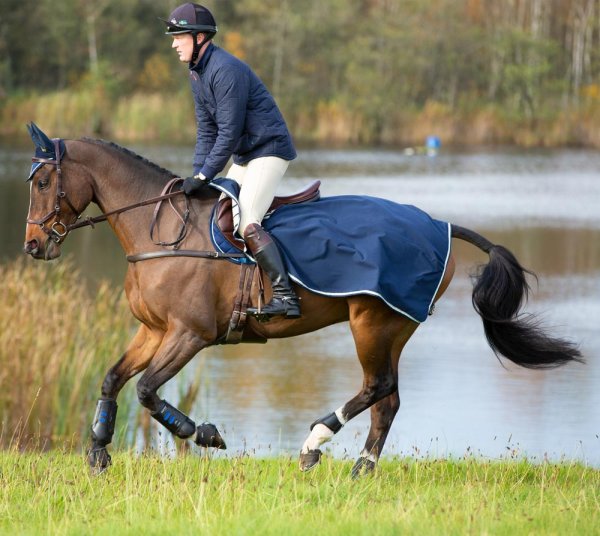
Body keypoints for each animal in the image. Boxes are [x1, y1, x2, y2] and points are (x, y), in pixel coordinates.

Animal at [22, 125, 580, 478]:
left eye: (45, 181)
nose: (33, 245)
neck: (161, 232)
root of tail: (439, 224)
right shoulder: (153, 330)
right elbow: (113, 378)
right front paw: (98, 452)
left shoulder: (189, 335)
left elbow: (147, 391)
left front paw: (204, 433)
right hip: (393, 329)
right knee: (389, 398)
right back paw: (362, 468)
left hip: (371, 323)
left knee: (377, 387)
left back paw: (314, 443)